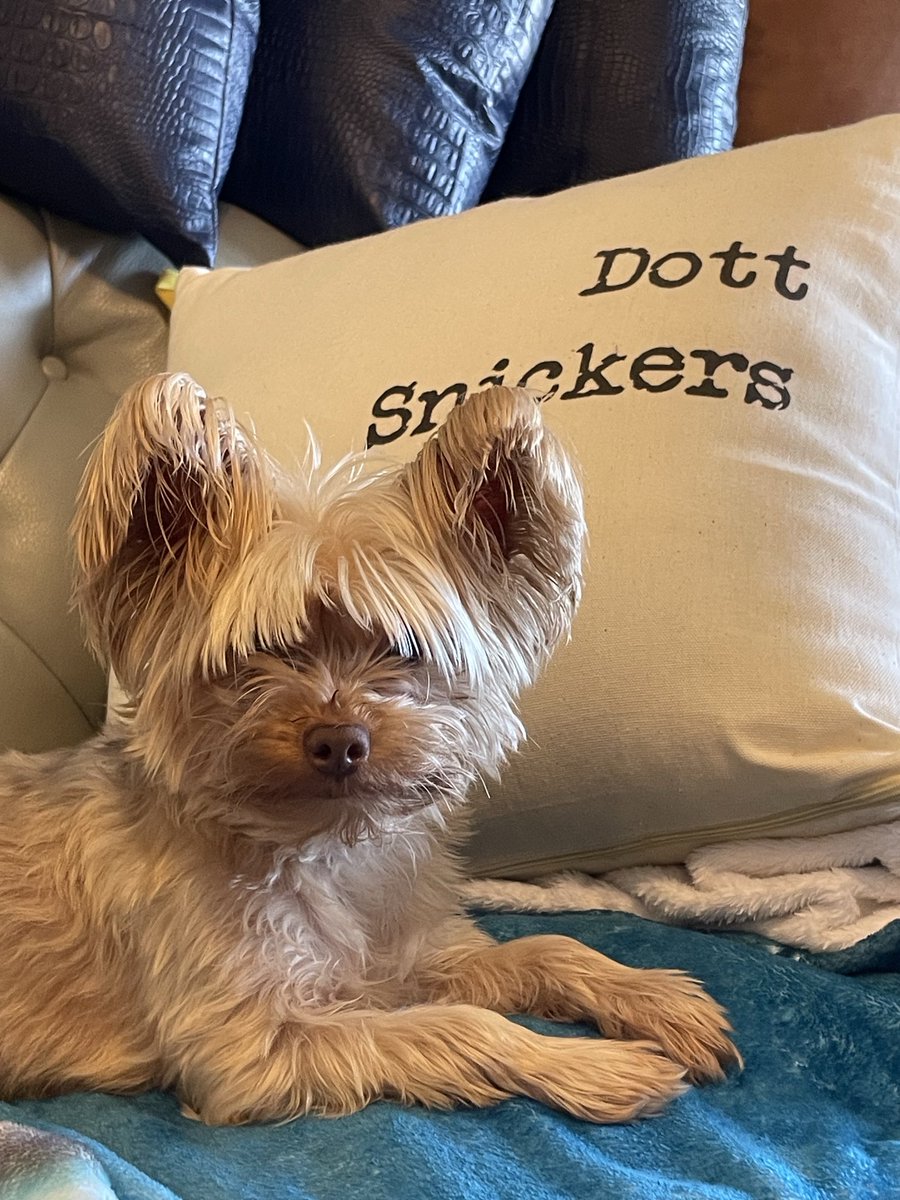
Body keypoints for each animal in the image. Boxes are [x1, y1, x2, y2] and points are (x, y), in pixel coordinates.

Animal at [0, 372, 739, 1123]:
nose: (338, 739)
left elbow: (545, 948)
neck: (329, 852)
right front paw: (592, 1065)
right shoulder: (254, 1048)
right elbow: (461, 1027)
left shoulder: (412, 957)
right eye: (259, 653)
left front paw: (652, 996)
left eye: (403, 649)